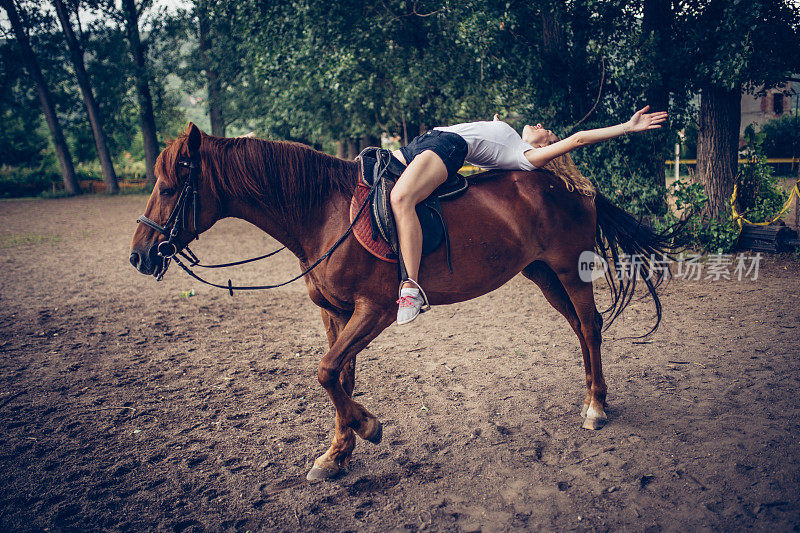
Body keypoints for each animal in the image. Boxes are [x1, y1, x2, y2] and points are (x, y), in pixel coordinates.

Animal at [130, 122, 676, 480]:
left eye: (168, 187)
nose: (140, 255)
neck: (322, 212)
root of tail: (572, 182)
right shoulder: (335, 312)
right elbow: (340, 377)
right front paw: (337, 454)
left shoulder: (372, 310)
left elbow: (326, 373)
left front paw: (368, 428)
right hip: (541, 273)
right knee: (582, 328)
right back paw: (591, 397)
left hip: (567, 270)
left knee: (590, 325)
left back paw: (596, 407)